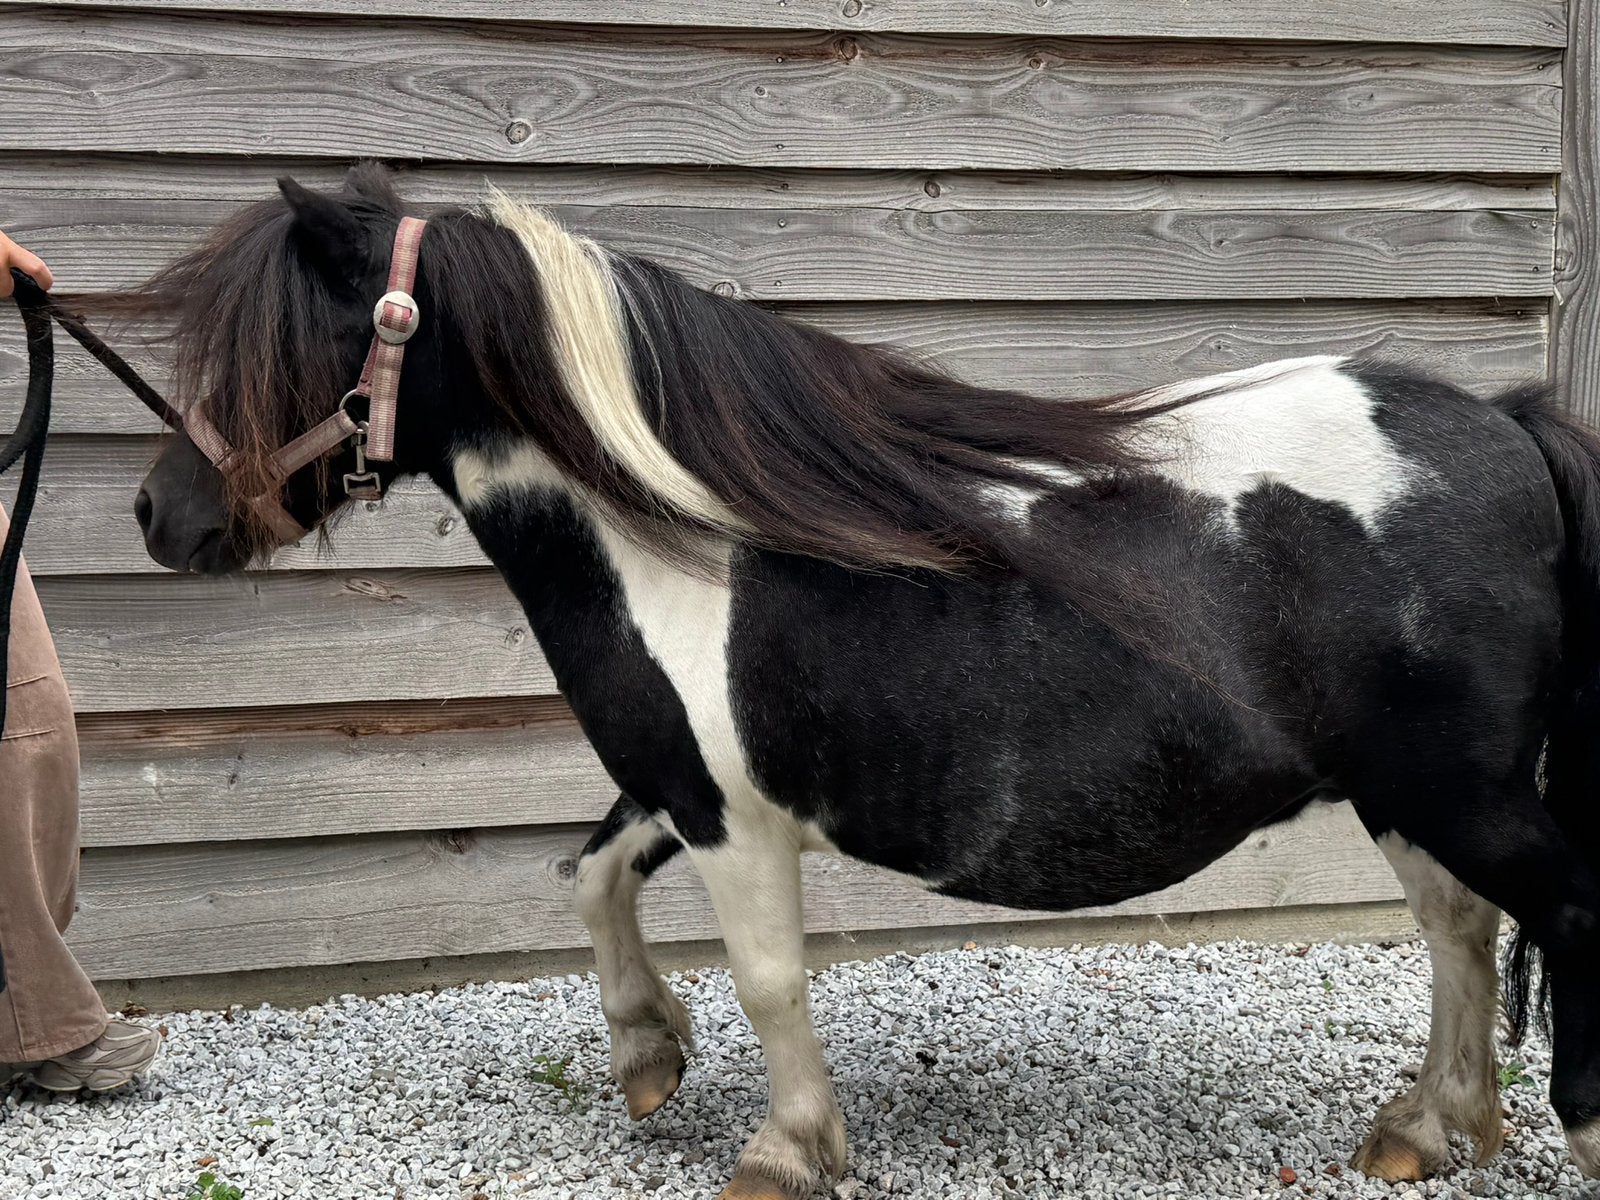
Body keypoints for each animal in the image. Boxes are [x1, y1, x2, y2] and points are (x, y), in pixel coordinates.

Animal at [106, 163, 1600, 1199]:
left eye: (282, 343)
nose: (160, 516)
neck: (684, 534)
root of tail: (1506, 428)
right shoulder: (679, 786)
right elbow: (588, 880)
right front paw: (647, 1055)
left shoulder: (732, 818)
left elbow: (770, 977)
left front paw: (785, 1146)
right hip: (1410, 793)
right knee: (1461, 932)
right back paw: (1430, 1126)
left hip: (1453, 791)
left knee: (1560, 912)